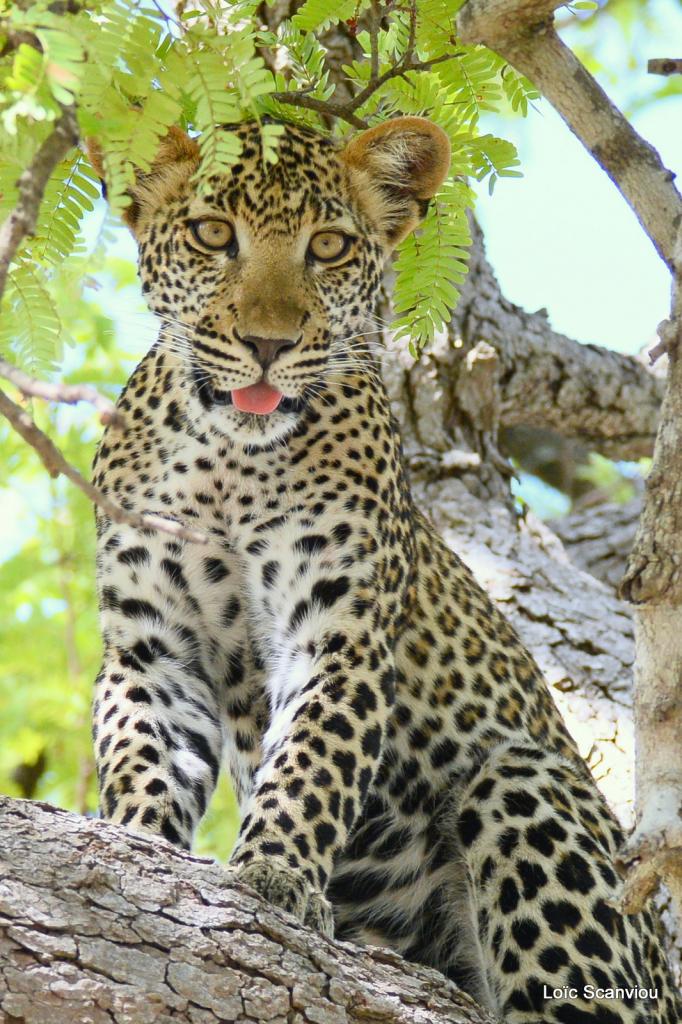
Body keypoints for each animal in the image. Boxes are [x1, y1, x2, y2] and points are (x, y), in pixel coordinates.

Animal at [87, 119, 675, 1024]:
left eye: (327, 247)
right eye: (213, 235)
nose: (268, 344)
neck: (228, 459)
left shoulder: (339, 630)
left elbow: (311, 764)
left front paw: (275, 874)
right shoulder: (153, 645)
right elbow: (140, 756)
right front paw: (137, 850)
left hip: (525, 783)